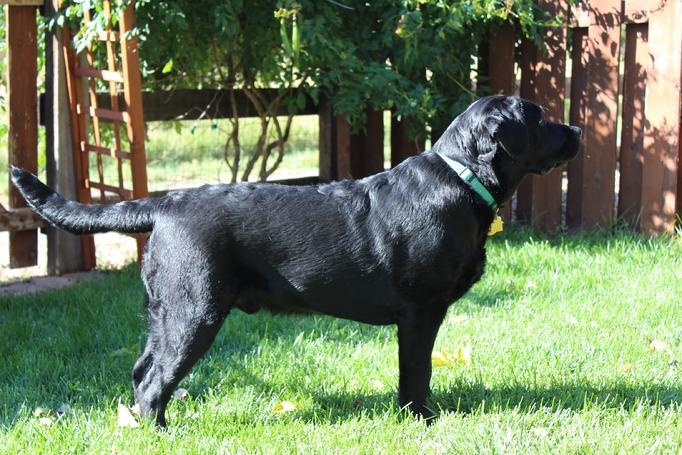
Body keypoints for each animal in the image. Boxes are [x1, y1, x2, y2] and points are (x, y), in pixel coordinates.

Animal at [10, 94, 580, 426]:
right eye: (539, 117)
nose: (575, 131)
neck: (462, 178)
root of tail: (166, 203)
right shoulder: (420, 313)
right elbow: (415, 373)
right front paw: (421, 420)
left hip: (169, 310)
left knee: (143, 371)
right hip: (195, 310)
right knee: (154, 382)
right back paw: (161, 433)